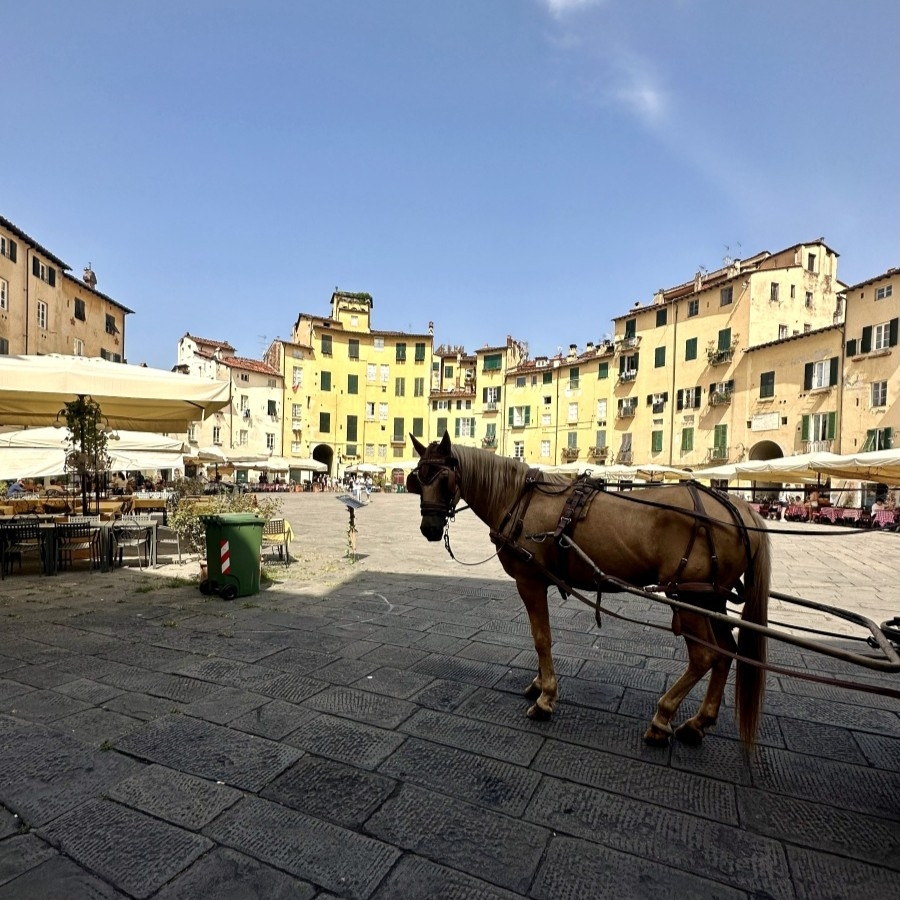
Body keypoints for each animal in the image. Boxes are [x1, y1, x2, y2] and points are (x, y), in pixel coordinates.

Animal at [407, 433, 772, 748]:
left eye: (443, 479)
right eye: (418, 480)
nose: (429, 529)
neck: (519, 499)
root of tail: (739, 509)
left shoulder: (530, 581)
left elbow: (541, 638)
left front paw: (546, 697)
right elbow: (540, 635)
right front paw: (539, 684)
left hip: (688, 597)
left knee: (704, 656)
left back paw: (662, 717)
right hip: (712, 598)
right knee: (725, 653)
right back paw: (698, 723)